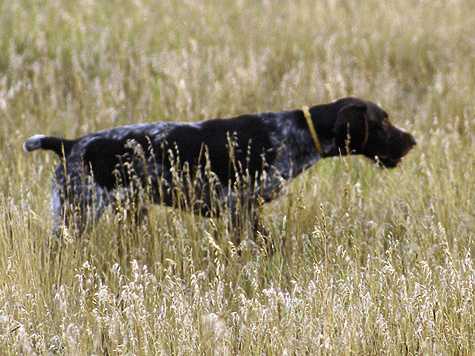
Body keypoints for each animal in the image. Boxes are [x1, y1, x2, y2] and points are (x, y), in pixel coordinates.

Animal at [24, 97, 416, 239]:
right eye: (382, 122)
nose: (412, 140)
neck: (294, 134)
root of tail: (71, 144)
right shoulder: (239, 206)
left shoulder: (248, 208)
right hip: (77, 213)